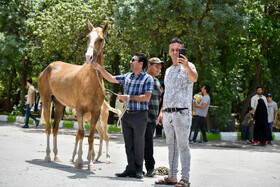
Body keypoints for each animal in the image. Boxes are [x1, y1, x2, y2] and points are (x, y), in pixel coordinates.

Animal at [37, 19, 107, 170]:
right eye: (87, 37)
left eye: (101, 39)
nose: (89, 57)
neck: (91, 81)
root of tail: (48, 68)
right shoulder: (80, 110)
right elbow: (81, 133)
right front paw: (79, 161)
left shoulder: (95, 112)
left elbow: (91, 136)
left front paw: (90, 163)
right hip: (46, 101)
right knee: (48, 128)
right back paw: (47, 156)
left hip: (59, 105)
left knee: (55, 128)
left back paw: (56, 156)